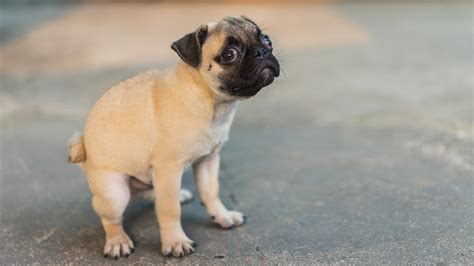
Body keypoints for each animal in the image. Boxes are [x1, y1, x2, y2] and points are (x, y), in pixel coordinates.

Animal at [68, 16, 280, 258]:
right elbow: (169, 210)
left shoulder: (208, 160)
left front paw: (222, 216)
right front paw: (175, 241)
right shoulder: (168, 168)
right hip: (114, 194)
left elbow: (211, 192)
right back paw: (117, 241)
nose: (261, 52)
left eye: (267, 40)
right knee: (112, 218)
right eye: (229, 54)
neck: (211, 104)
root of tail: (83, 149)